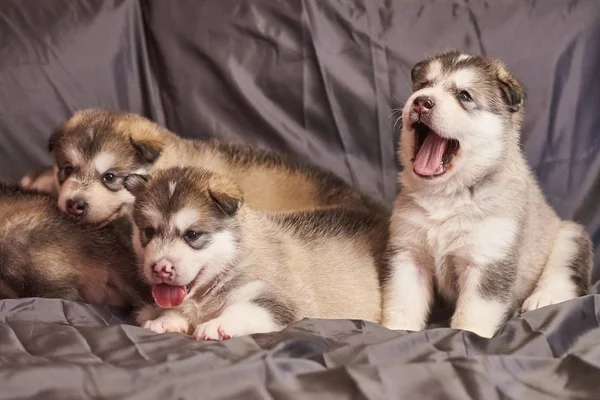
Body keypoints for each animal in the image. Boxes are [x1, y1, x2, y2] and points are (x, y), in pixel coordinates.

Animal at [382, 50, 592, 338]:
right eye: (423, 85)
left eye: (464, 96)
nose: (422, 102)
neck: (448, 194)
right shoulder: (408, 253)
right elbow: (403, 300)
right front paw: (395, 329)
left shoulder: (487, 260)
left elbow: (474, 312)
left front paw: (468, 336)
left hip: (569, 236)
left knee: (564, 271)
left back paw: (544, 298)